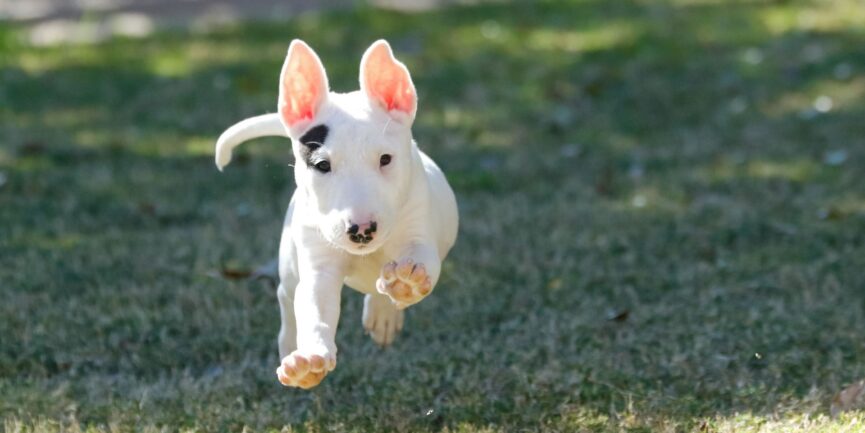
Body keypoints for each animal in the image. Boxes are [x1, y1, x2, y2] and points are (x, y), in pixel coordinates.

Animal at [214, 39, 460, 388]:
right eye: (321, 165)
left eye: (386, 159)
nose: (362, 230)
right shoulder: (319, 264)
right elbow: (315, 305)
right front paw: (309, 361)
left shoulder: (418, 228)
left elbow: (421, 259)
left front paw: (406, 282)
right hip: (290, 259)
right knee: (287, 294)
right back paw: (290, 343)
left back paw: (385, 311)